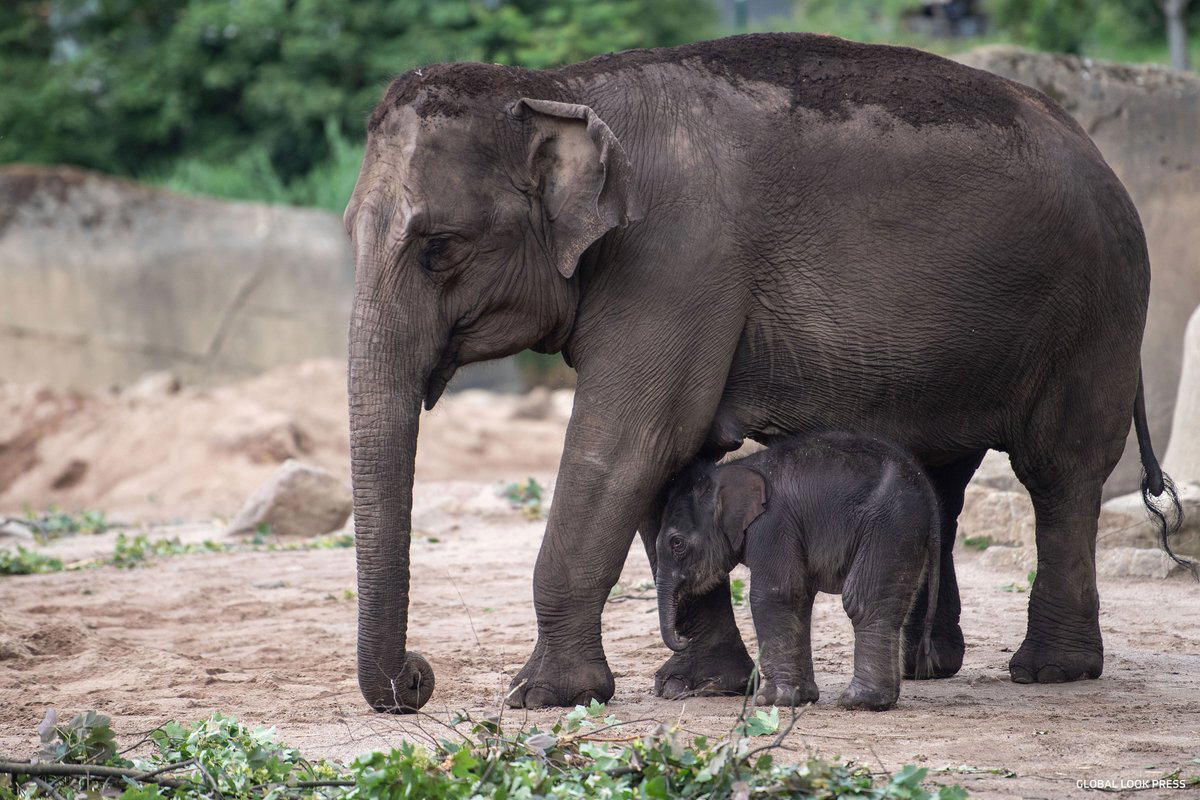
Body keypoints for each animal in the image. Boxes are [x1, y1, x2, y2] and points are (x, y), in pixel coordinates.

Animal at [657, 431, 936, 714]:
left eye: (677, 543)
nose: (683, 638)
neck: (735, 468)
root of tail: (928, 494)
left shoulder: (772, 524)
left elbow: (774, 595)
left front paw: (769, 700)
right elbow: (799, 597)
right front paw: (801, 698)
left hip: (888, 526)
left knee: (863, 602)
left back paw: (858, 701)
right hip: (903, 535)